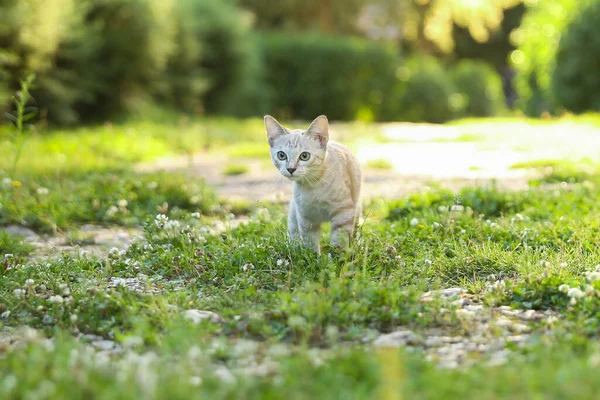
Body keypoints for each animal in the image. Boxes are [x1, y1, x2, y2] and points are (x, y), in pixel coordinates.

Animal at [266, 115, 360, 253]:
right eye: (281, 155)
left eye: (304, 156)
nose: (291, 169)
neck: (313, 185)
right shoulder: (305, 217)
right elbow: (309, 241)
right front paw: (314, 256)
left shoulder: (344, 212)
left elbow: (339, 241)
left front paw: (337, 256)